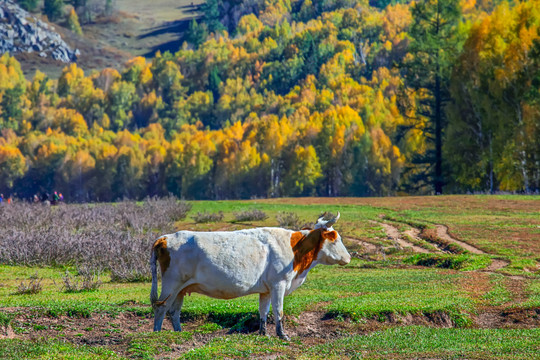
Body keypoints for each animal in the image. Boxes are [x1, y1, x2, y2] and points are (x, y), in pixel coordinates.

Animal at [149, 212, 350, 338]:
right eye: (335, 239)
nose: (349, 257)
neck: (295, 249)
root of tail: (165, 237)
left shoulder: (266, 290)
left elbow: (264, 311)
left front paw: (263, 333)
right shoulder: (279, 284)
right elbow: (279, 310)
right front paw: (282, 335)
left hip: (181, 289)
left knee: (174, 311)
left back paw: (179, 332)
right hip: (171, 285)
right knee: (161, 308)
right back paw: (157, 333)